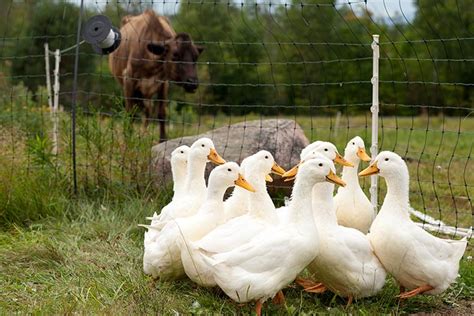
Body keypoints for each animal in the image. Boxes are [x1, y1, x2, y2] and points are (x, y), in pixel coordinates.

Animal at [109, 9, 202, 141]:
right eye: (175, 55)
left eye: (196, 57)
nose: (192, 82)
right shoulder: (129, 80)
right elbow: (130, 113)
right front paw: (128, 139)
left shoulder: (164, 83)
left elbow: (161, 112)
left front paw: (162, 139)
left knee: (148, 109)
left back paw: (144, 135)